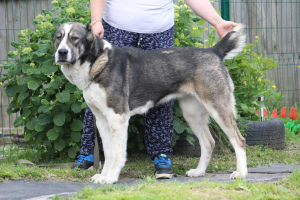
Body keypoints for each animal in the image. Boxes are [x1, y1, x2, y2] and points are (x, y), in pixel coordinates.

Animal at [54, 22, 248, 184]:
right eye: (58, 38)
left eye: (75, 38)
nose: (62, 52)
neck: (98, 62)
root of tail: (213, 51)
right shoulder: (102, 120)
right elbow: (108, 152)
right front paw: (104, 175)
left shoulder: (118, 118)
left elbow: (117, 153)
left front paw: (111, 178)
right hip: (192, 114)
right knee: (209, 142)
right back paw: (199, 171)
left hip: (218, 107)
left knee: (239, 140)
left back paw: (241, 173)